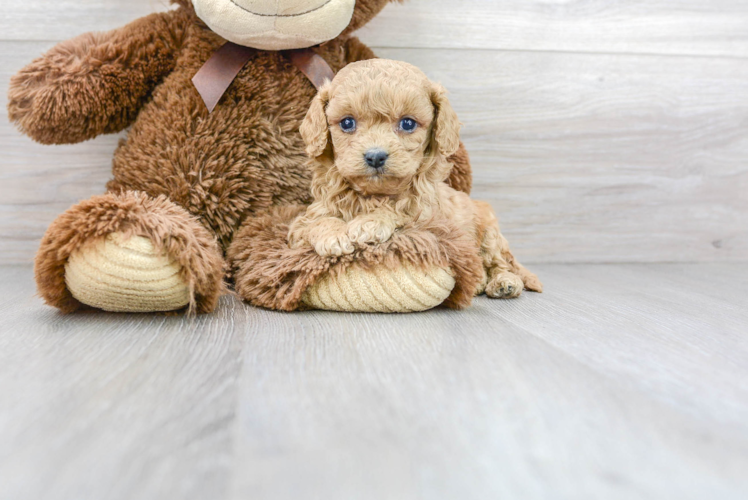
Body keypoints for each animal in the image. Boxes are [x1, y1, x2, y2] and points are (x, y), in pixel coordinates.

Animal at [290, 60, 540, 298]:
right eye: (347, 123)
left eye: (408, 123)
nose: (375, 156)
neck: (374, 195)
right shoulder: (303, 222)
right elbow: (316, 222)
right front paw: (334, 235)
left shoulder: (431, 220)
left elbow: (401, 211)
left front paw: (369, 222)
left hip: (490, 232)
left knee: (498, 263)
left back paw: (504, 282)